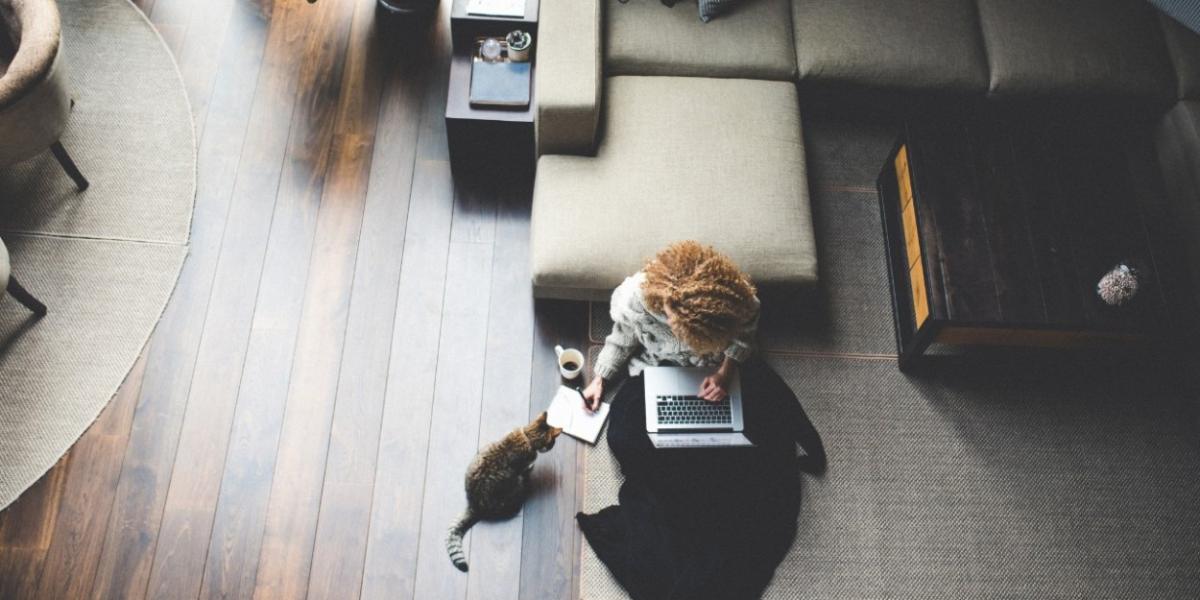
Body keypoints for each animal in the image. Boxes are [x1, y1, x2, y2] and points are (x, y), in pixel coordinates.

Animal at [448, 412, 564, 571]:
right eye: (552, 443)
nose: (552, 446)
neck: (528, 436)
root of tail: (473, 505)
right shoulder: (524, 465)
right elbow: (528, 466)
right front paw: (531, 467)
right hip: (516, 485)